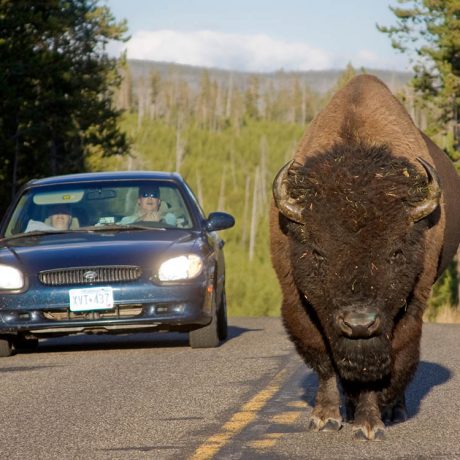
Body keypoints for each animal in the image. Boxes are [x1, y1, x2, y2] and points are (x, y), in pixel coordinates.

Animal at [270, 73, 460, 440]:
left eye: (396, 252)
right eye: (319, 253)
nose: (359, 323)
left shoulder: (408, 307)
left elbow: (386, 363)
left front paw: (369, 424)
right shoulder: (297, 302)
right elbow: (324, 360)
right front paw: (325, 417)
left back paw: (394, 410)